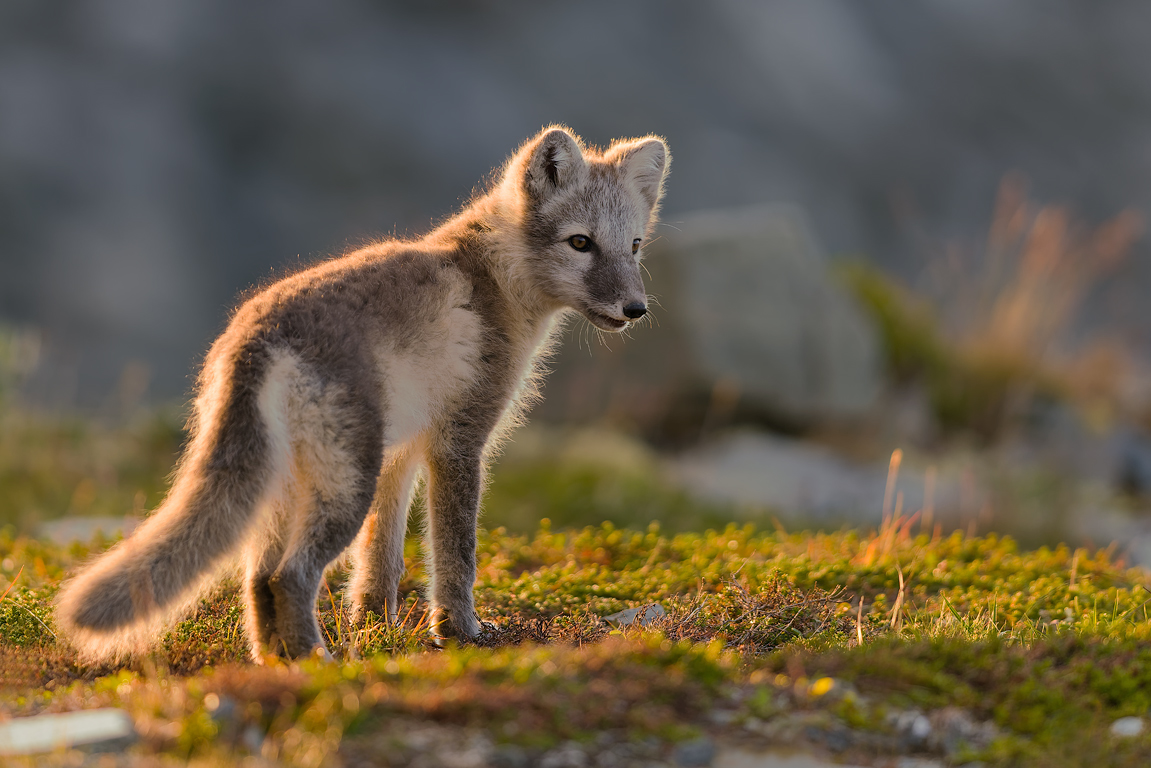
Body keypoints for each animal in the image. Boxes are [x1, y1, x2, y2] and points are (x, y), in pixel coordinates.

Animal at [55, 126, 670, 662]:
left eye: (636, 246)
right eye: (580, 243)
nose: (635, 309)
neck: (494, 279)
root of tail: (257, 334)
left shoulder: (401, 455)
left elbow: (382, 561)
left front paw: (377, 629)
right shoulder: (458, 443)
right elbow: (456, 556)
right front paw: (459, 632)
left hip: (292, 485)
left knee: (258, 579)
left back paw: (278, 660)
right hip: (343, 483)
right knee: (290, 576)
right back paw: (316, 662)